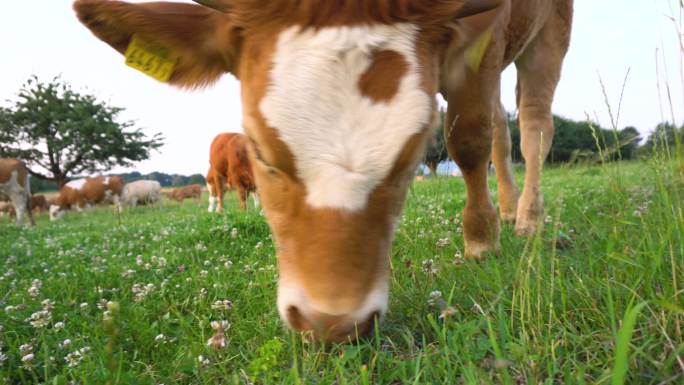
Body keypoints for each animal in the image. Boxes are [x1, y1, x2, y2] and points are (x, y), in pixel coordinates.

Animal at [75, 0, 576, 342]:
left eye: (413, 153)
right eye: (259, 151)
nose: (332, 323)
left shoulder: (484, 35)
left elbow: (469, 139)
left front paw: (480, 242)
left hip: (551, 29)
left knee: (532, 123)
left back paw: (527, 217)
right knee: (502, 130)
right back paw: (509, 208)